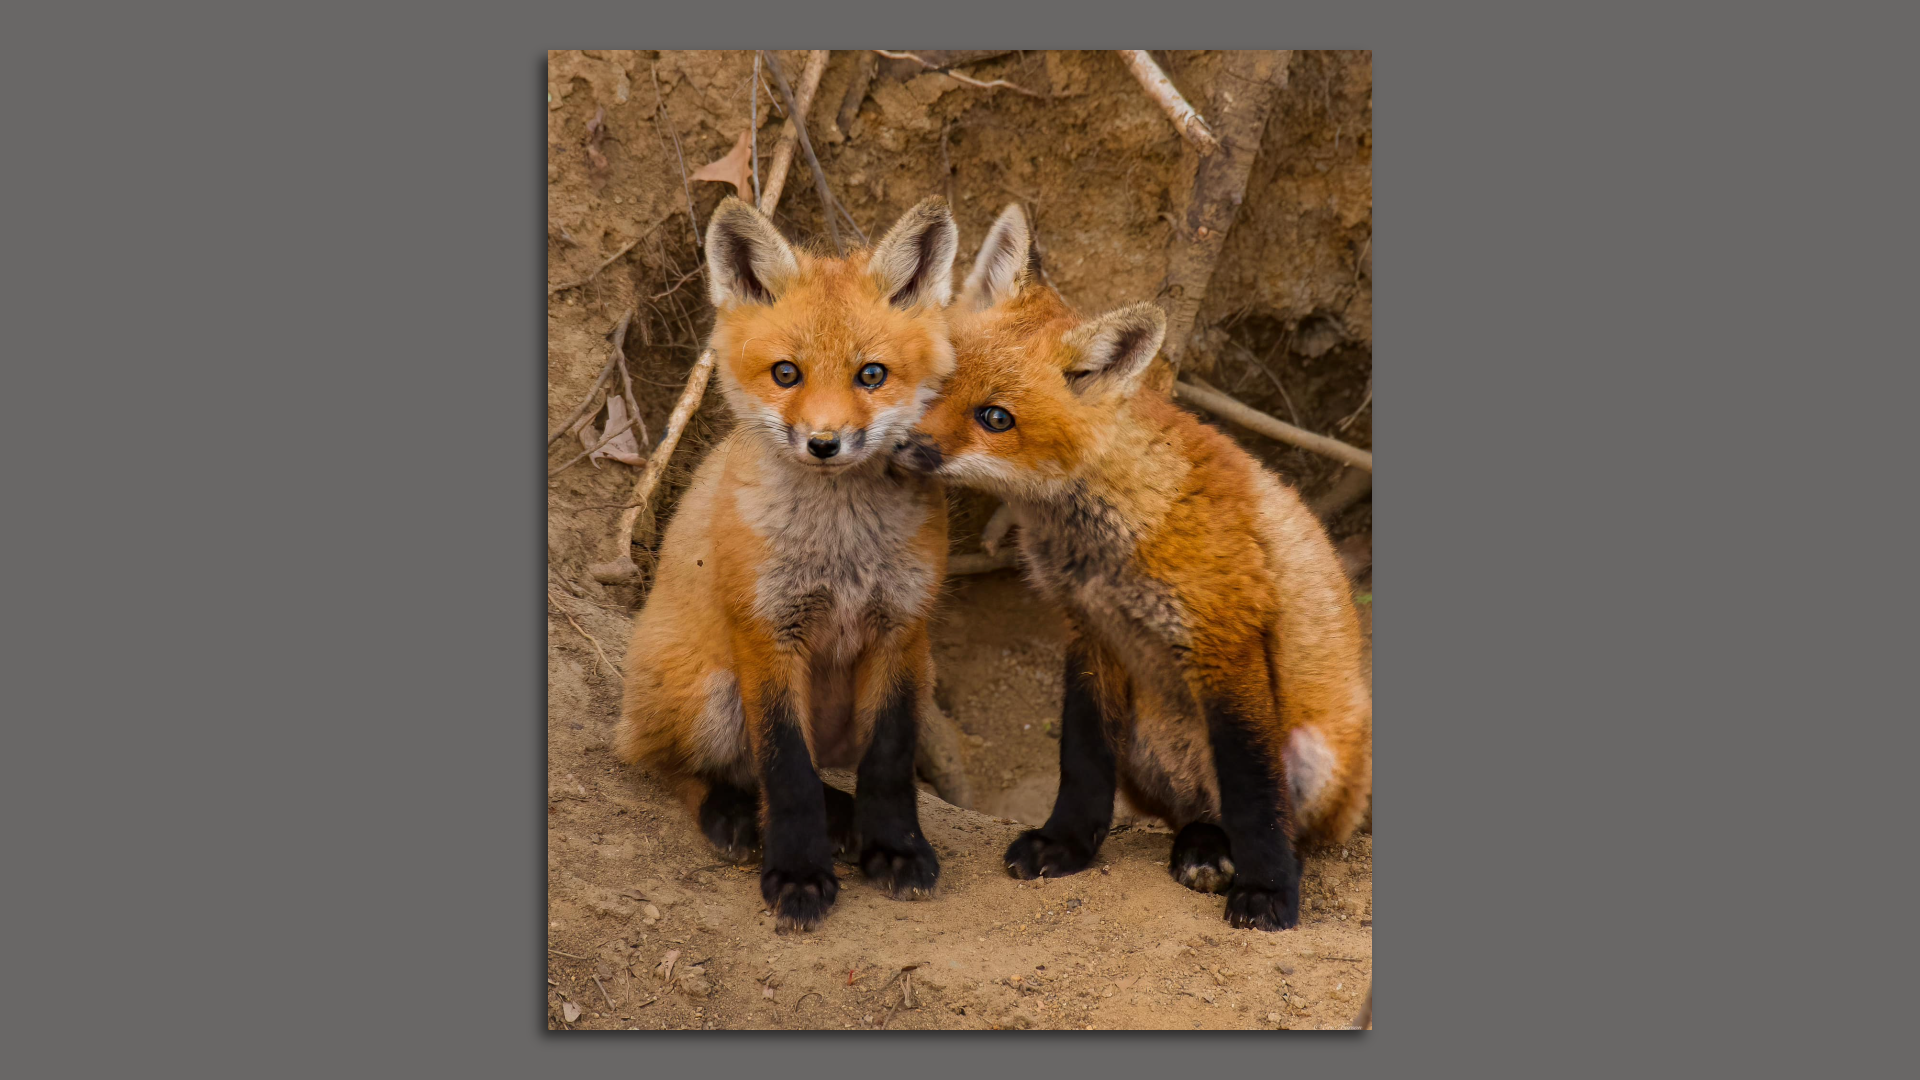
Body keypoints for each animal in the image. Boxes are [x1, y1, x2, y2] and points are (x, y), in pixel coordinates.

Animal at [614, 195, 961, 932]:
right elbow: (787, 770)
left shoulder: (901, 629)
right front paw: (799, 874)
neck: (840, 546)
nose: (824, 443)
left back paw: (844, 819)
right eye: (786, 373)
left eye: (870, 375)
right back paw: (734, 815)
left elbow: (888, 762)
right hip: (711, 695)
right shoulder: (767, 632)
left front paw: (894, 849)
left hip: (911, 679)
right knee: (682, 769)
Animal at [895, 205, 1372, 931]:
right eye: (941, 381)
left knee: (1281, 821)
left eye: (995, 418)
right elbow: (1080, 761)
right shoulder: (1090, 633)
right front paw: (1065, 844)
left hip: (1313, 754)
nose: (905, 444)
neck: (1109, 534)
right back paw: (1200, 845)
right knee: (1198, 811)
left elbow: (1256, 797)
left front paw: (1267, 892)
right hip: (1150, 741)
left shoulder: (1225, 644)